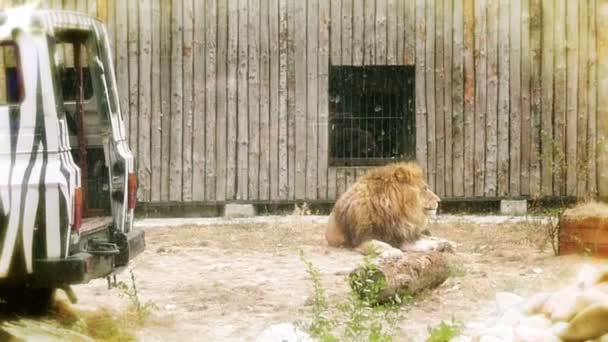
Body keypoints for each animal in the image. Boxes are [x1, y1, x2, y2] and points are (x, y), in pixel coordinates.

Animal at [326, 162, 454, 256]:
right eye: (425, 188)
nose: (439, 200)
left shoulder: (400, 236)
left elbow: (423, 243)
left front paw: (444, 245)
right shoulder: (361, 240)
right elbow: (381, 244)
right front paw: (393, 252)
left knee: (429, 237)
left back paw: (448, 243)